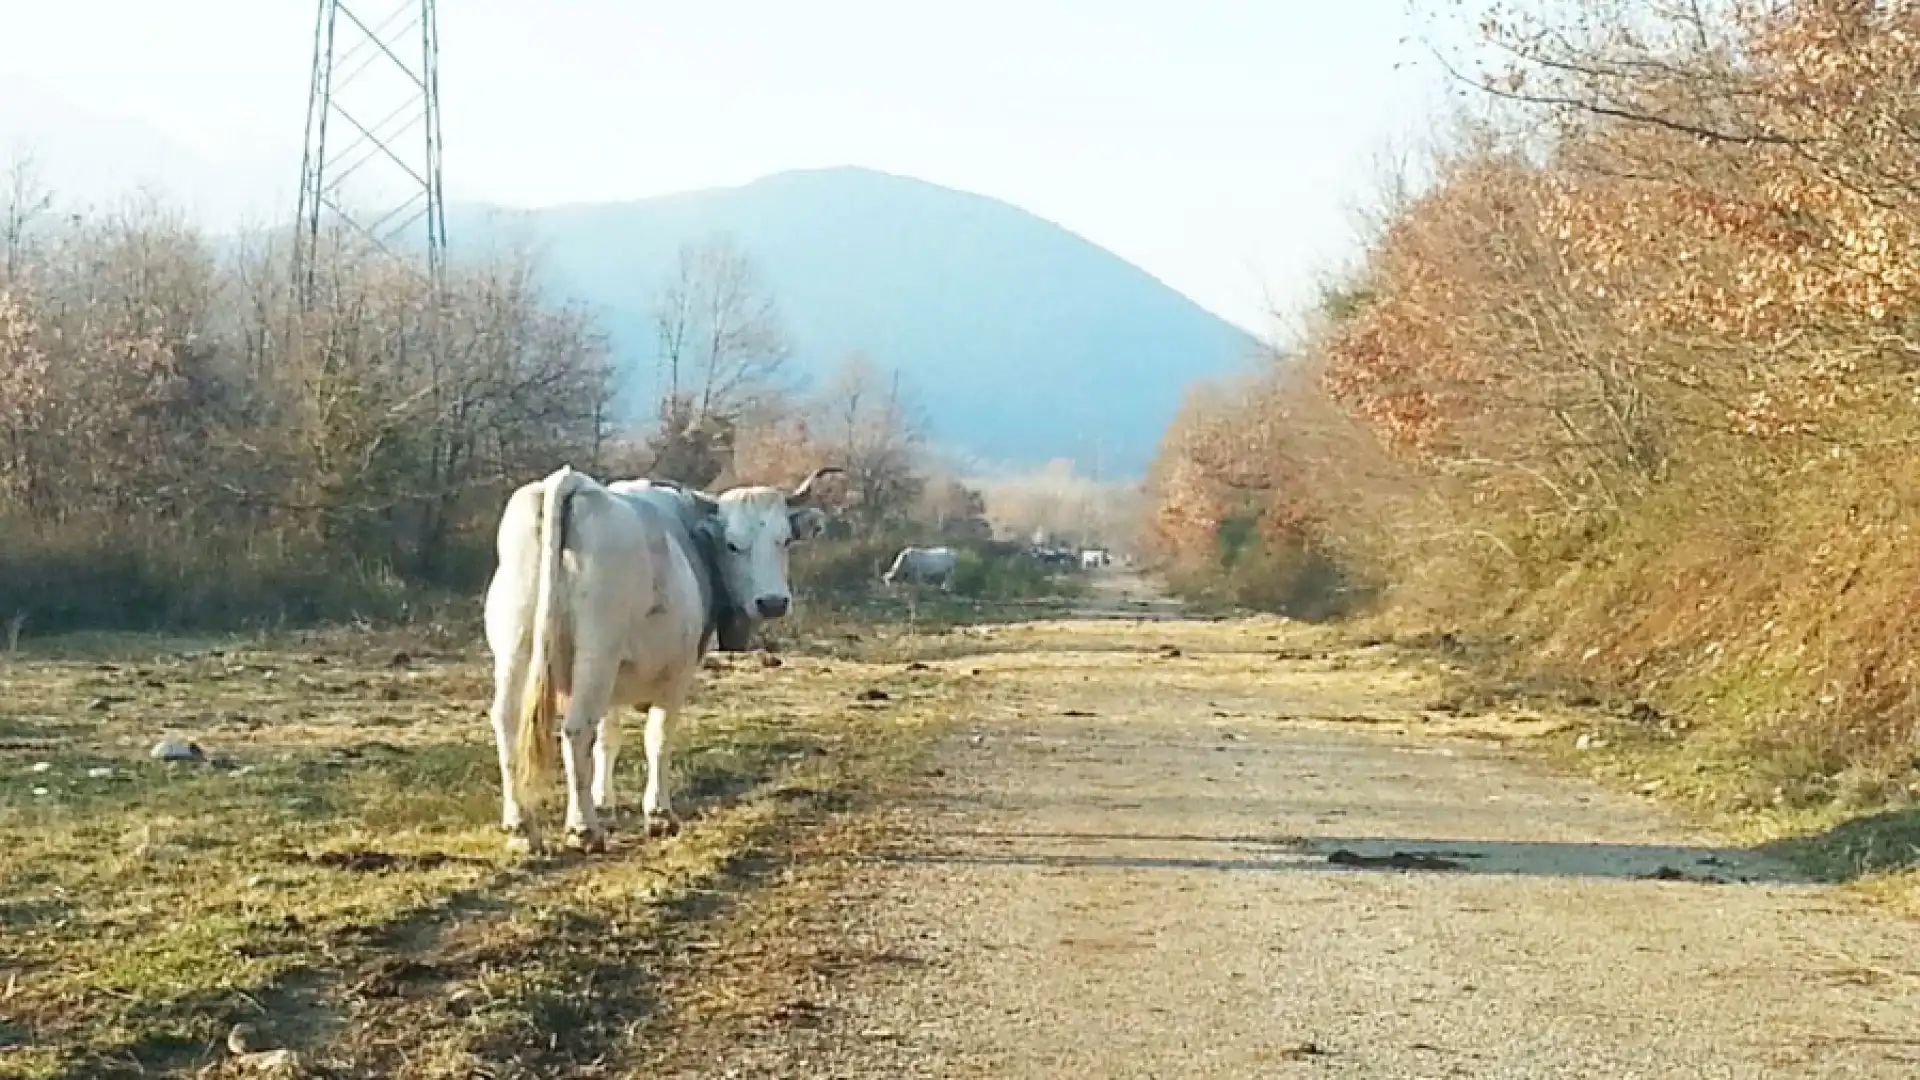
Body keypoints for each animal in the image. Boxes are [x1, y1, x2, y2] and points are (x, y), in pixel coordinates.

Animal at [480, 463, 840, 849]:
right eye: (732, 545)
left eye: (784, 540)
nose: (772, 602)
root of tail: (568, 483)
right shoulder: (677, 673)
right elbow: (658, 737)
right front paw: (658, 814)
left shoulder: (616, 679)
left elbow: (608, 736)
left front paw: (605, 801)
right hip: (596, 656)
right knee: (576, 729)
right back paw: (583, 827)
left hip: (517, 651)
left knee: (508, 722)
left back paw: (521, 826)